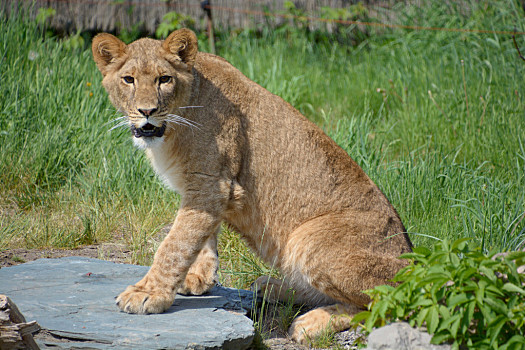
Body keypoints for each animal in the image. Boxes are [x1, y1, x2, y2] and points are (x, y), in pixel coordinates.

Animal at [92, 28, 412, 344]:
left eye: (164, 79)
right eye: (129, 79)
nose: (147, 111)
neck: (173, 126)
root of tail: (414, 266)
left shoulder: (212, 183)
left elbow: (175, 243)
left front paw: (148, 294)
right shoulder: (207, 188)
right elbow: (202, 235)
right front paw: (198, 279)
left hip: (307, 238)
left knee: (384, 303)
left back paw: (309, 323)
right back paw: (272, 286)